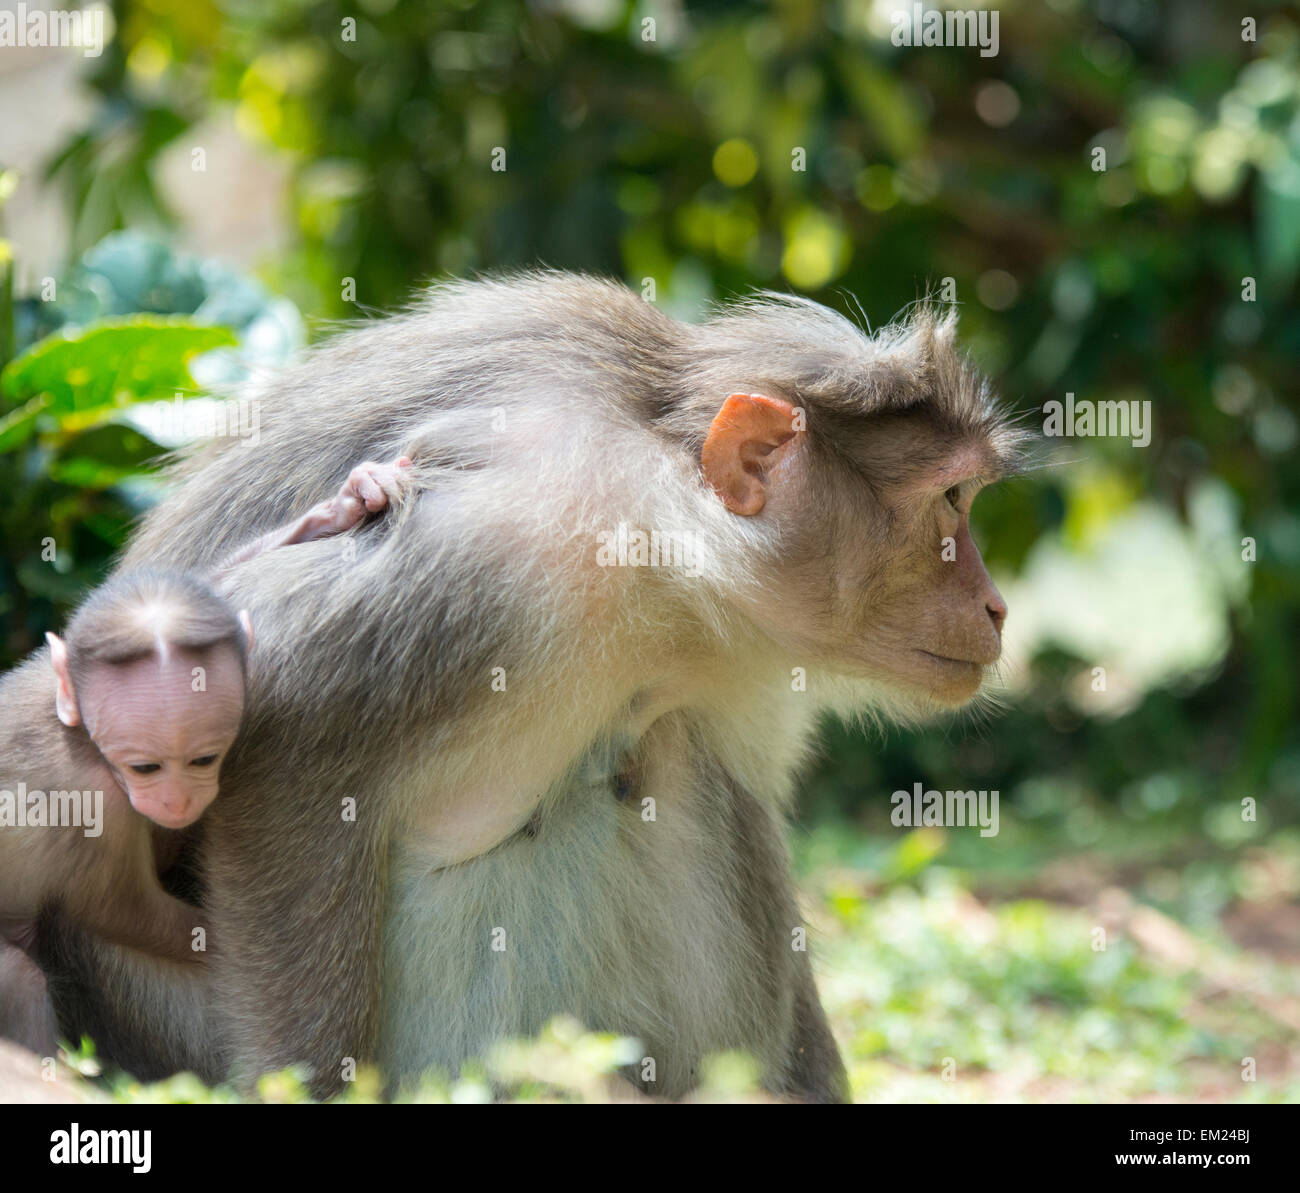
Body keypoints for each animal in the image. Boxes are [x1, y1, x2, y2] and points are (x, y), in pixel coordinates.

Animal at [0, 457, 410, 1057]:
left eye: (204, 759)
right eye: (145, 767)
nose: (177, 801)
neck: (84, 740)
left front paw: (345, 504)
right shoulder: (98, 806)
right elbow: (120, 912)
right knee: (18, 976)